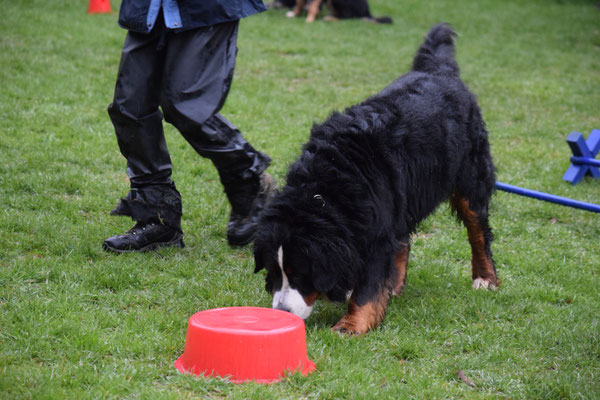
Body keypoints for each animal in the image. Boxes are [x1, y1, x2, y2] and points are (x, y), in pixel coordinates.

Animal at [252, 22, 496, 334]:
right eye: (274, 271)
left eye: (301, 274)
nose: (282, 312)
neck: (325, 190)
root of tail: (439, 71)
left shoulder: (376, 232)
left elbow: (367, 286)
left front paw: (351, 325)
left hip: (470, 177)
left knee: (478, 230)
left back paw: (485, 278)